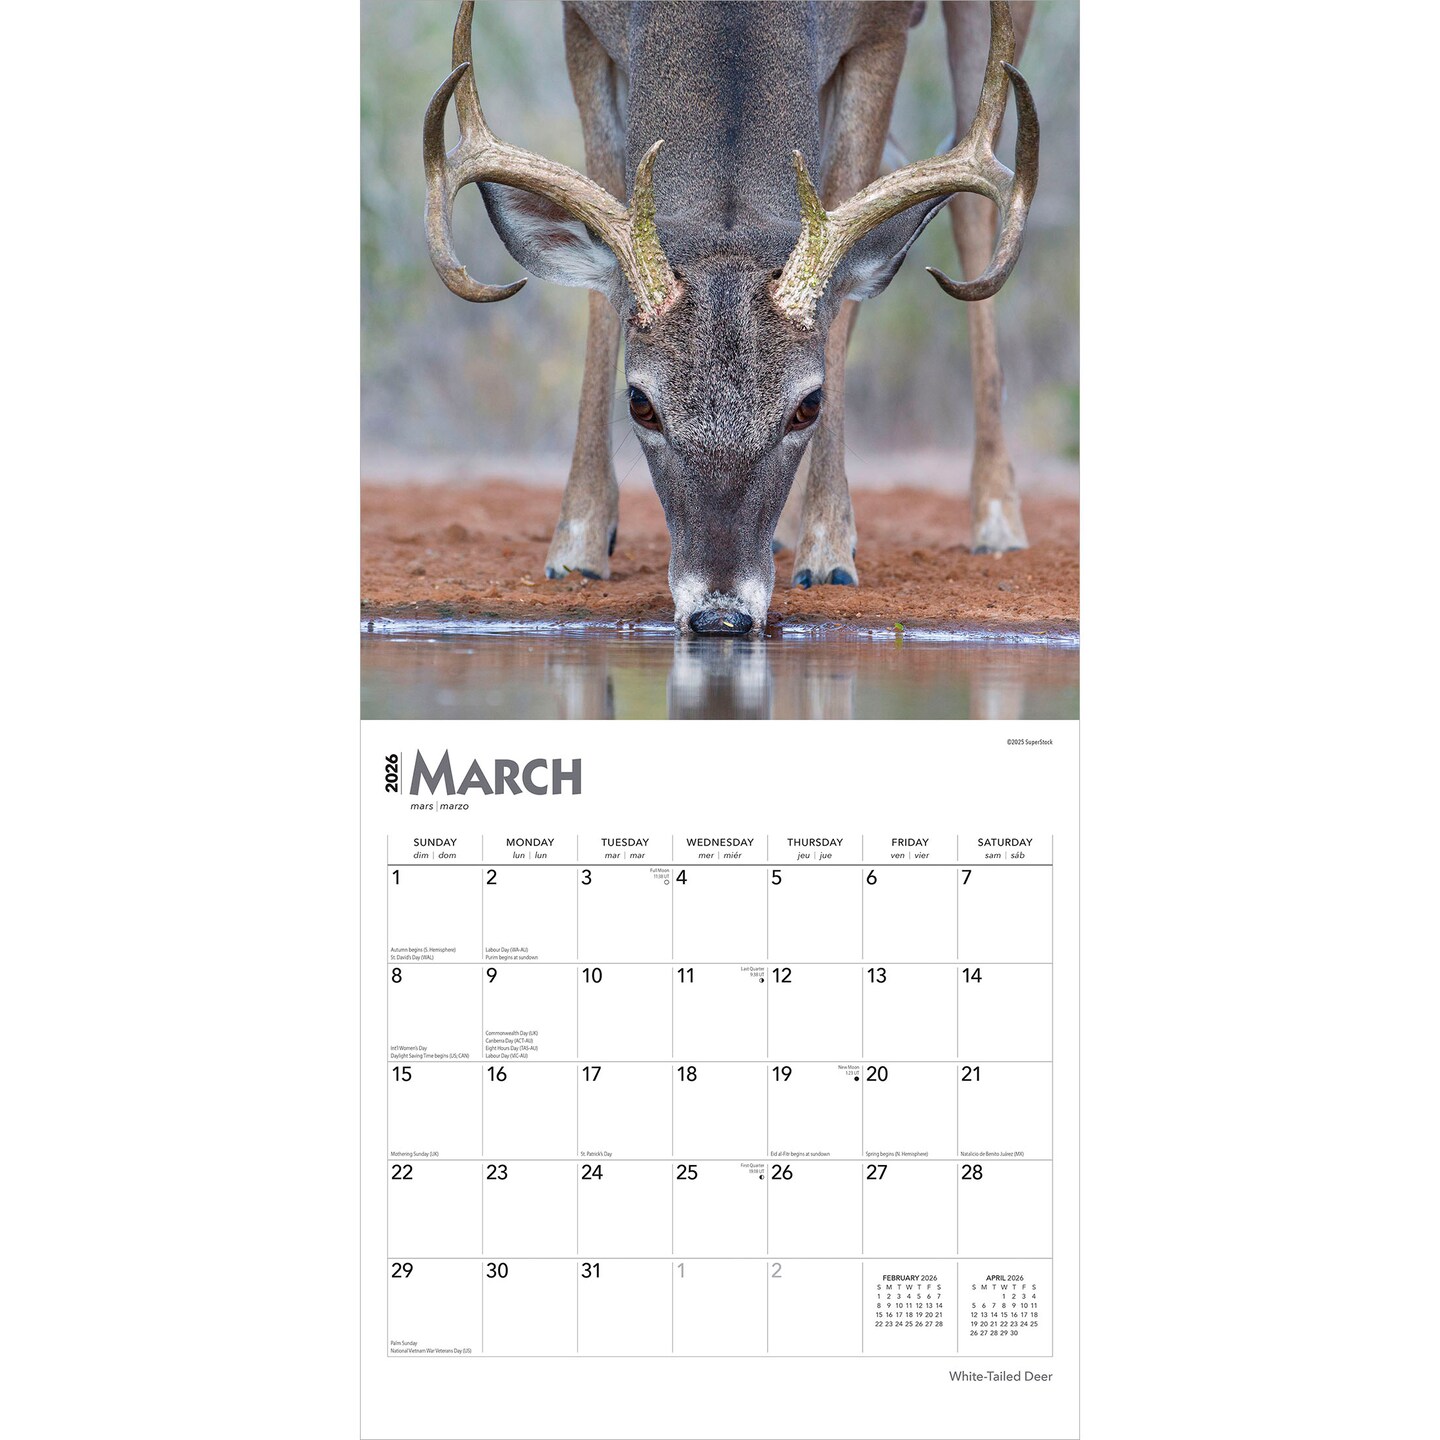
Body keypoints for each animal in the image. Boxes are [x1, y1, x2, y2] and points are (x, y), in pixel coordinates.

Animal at [424, 0, 1037, 634]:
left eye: (809, 403)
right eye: (639, 402)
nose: (720, 613)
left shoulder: (884, 30)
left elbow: (842, 267)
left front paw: (829, 552)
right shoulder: (583, 25)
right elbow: (602, 262)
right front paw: (578, 546)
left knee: (970, 200)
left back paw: (996, 521)